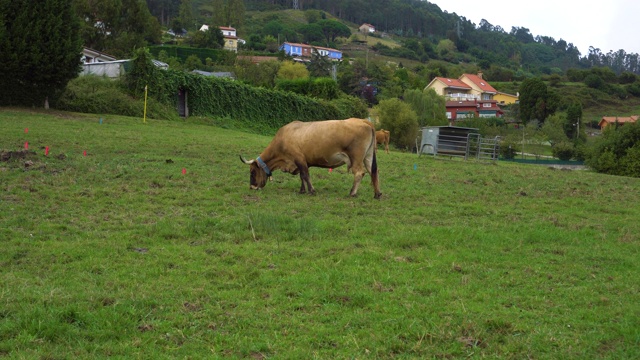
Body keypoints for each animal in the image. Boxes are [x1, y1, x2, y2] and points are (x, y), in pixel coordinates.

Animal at [239, 118, 380, 198]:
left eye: (252, 172)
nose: (252, 187)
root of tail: (364, 121)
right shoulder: (301, 162)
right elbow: (302, 176)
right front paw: (302, 190)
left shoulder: (299, 159)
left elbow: (305, 175)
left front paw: (311, 191)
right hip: (368, 156)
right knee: (373, 171)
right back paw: (377, 194)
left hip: (356, 157)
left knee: (359, 173)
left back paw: (352, 193)